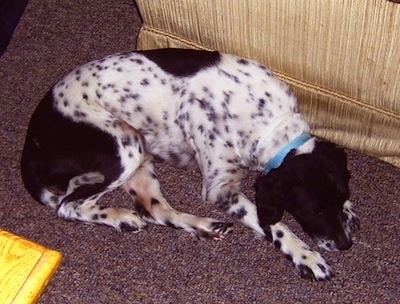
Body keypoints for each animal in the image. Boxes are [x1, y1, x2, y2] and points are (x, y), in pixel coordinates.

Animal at [21, 48, 360, 280]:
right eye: (313, 211)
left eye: (341, 196)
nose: (345, 245)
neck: (269, 122)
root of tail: (32, 138)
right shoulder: (220, 189)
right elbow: (273, 224)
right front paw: (304, 254)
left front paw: (348, 212)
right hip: (124, 147)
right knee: (69, 206)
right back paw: (121, 217)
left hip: (141, 156)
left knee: (154, 209)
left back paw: (204, 226)